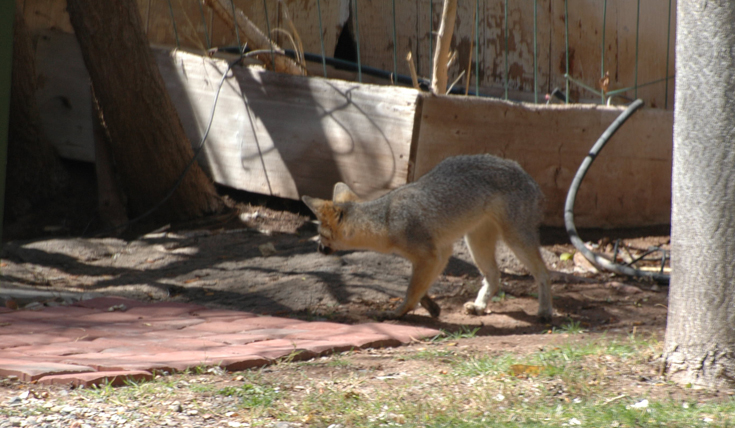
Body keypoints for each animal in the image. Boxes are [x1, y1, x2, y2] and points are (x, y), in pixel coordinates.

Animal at [301, 154, 552, 322]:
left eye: (321, 235)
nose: (319, 249)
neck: (386, 219)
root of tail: (524, 172)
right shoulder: (440, 253)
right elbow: (421, 287)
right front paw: (431, 306)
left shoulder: (428, 256)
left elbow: (411, 290)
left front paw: (398, 312)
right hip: (476, 242)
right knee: (494, 275)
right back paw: (480, 306)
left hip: (515, 239)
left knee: (544, 272)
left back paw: (545, 311)